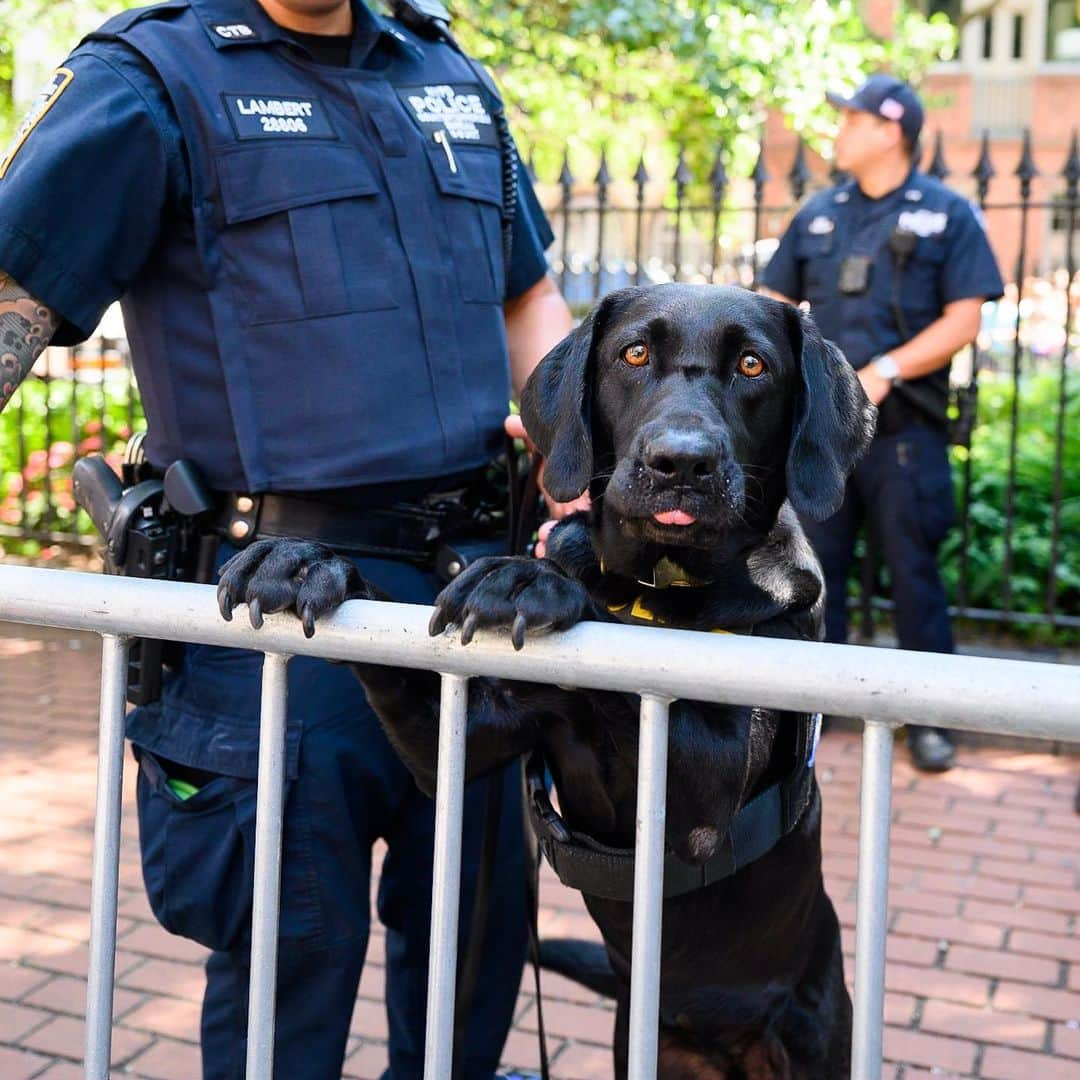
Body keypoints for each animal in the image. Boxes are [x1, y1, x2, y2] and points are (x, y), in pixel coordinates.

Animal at [214, 282, 872, 1075]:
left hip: (810, 1037)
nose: (680, 463)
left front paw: (534, 581)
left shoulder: (705, 809)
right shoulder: (461, 736)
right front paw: (304, 562)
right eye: (634, 353)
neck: (657, 587)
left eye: (753, 365)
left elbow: (615, 652)